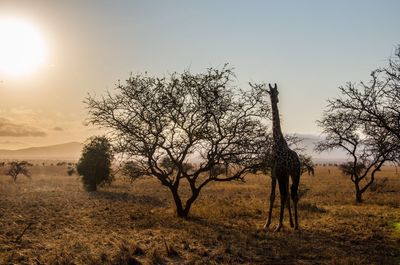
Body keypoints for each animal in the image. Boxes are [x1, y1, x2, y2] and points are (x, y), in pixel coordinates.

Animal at [262, 83, 300, 230]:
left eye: (277, 92)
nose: (277, 99)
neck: (277, 139)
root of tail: (295, 161)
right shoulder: (282, 174)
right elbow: (283, 195)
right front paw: (290, 222)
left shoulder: (275, 173)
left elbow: (274, 196)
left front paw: (269, 223)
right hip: (295, 173)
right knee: (293, 194)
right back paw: (296, 225)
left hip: (285, 174)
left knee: (285, 195)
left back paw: (280, 225)